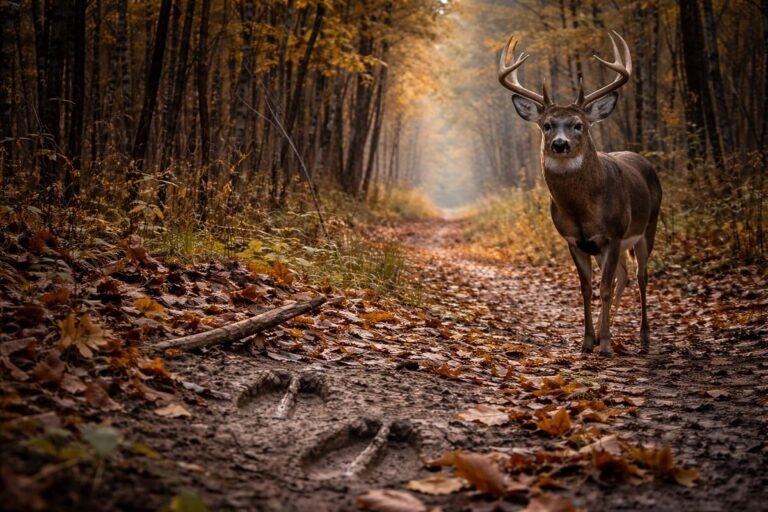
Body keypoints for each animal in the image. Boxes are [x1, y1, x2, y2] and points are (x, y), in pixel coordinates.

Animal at [498, 31, 662, 356]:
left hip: (647, 226)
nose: (560, 144)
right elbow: (587, 289)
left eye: (578, 125)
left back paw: (644, 339)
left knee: (641, 276)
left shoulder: (613, 233)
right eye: (547, 125)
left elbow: (604, 287)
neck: (583, 209)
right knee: (624, 276)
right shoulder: (575, 240)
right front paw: (587, 341)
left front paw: (606, 344)